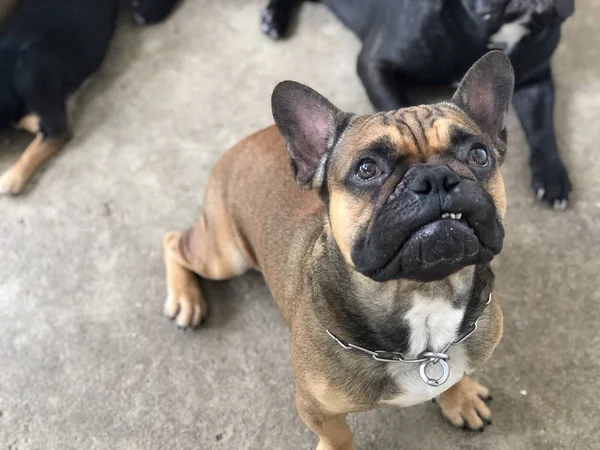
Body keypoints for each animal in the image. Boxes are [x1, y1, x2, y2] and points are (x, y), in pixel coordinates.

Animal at [163, 51, 510, 446]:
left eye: (479, 154)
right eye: (366, 168)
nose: (434, 178)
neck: (426, 293)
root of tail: (242, 143)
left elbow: (455, 375)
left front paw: (459, 397)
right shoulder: (315, 406)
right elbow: (338, 437)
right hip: (225, 255)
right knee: (173, 242)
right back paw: (185, 300)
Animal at [262, 0, 576, 211]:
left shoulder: (537, 79)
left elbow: (542, 127)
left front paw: (552, 175)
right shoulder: (375, 63)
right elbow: (395, 107)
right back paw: (273, 18)